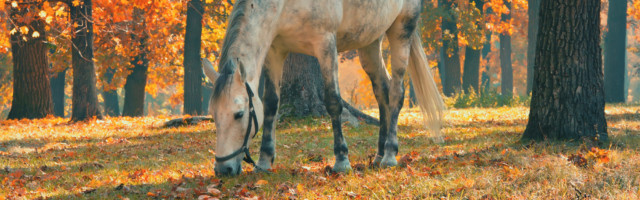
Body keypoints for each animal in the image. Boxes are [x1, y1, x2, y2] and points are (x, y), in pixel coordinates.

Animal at [204, 0, 444, 176]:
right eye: (214, 115)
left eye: (239, 114)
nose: (223, 169)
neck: (284, 5)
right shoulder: (275, 50)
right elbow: (271, 104)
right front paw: (264, 161)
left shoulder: (326, 44)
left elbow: (333, 102)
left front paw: (342, 160)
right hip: (370, 41)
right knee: (382, 92)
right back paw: (378, 154)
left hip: (401, 31)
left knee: (395, 94)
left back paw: (389, 155)